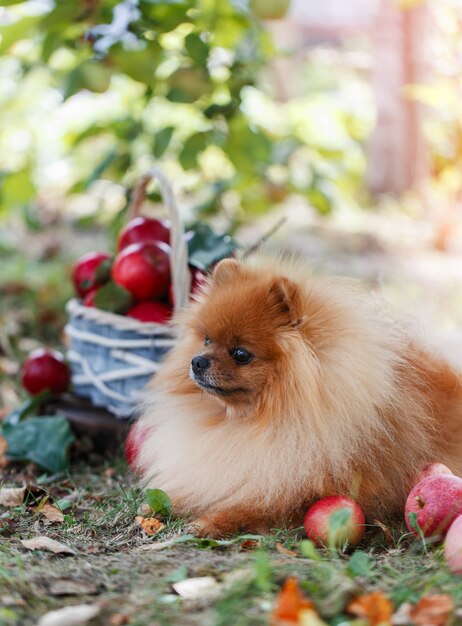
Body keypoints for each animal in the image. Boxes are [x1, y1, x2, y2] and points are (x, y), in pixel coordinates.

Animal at [135, 255, 462, 536]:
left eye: (241, 354)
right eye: (206, 340)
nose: (197, 361)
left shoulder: (303, 495)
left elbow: (254, 509)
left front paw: (209, 522)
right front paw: (162, 504)